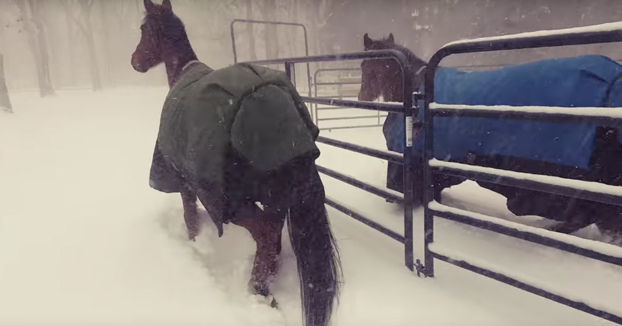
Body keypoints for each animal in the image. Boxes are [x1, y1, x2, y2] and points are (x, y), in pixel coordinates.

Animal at [130, 1, 342, 324]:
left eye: (144, 29)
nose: (135, 61)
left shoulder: (185, 184)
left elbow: (190, 220)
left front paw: (196, 248)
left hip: (236, 204)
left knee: (265, 235)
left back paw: (257, 290)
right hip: (275, 199)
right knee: (272, 237)